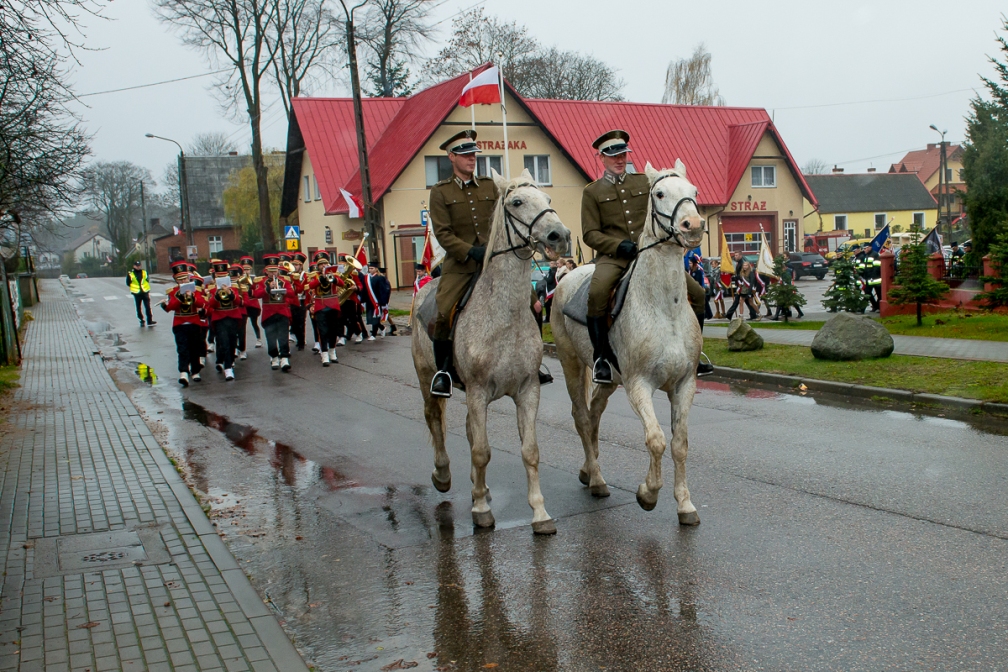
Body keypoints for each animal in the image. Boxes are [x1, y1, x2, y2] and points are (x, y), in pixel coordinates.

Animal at [409, 172, 568, 535]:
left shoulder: (528, 390)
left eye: (549, 201)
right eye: (517, 202)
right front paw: (481, 512)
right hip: (428, 379)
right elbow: (482, 451)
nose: (560, 236)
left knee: (468, 430)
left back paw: (477, 487)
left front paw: (540, 514)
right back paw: (443, 475)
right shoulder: (479, 391)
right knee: (433, 418)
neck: (504, 314)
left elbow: (530, 451)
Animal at [548, 163, 705, 523]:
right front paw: (648, 494)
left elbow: (680, 444)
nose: (693, 225)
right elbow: (656, 440)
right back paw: (596, 480)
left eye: (694, 190)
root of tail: (566, 277)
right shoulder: (639, 385)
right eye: (659, 194)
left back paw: (588, 470)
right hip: (571, 363)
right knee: (581, 416)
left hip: (608, 379)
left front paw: (685, 504)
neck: (664, 307)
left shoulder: (685, 384)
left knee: (594, 413)